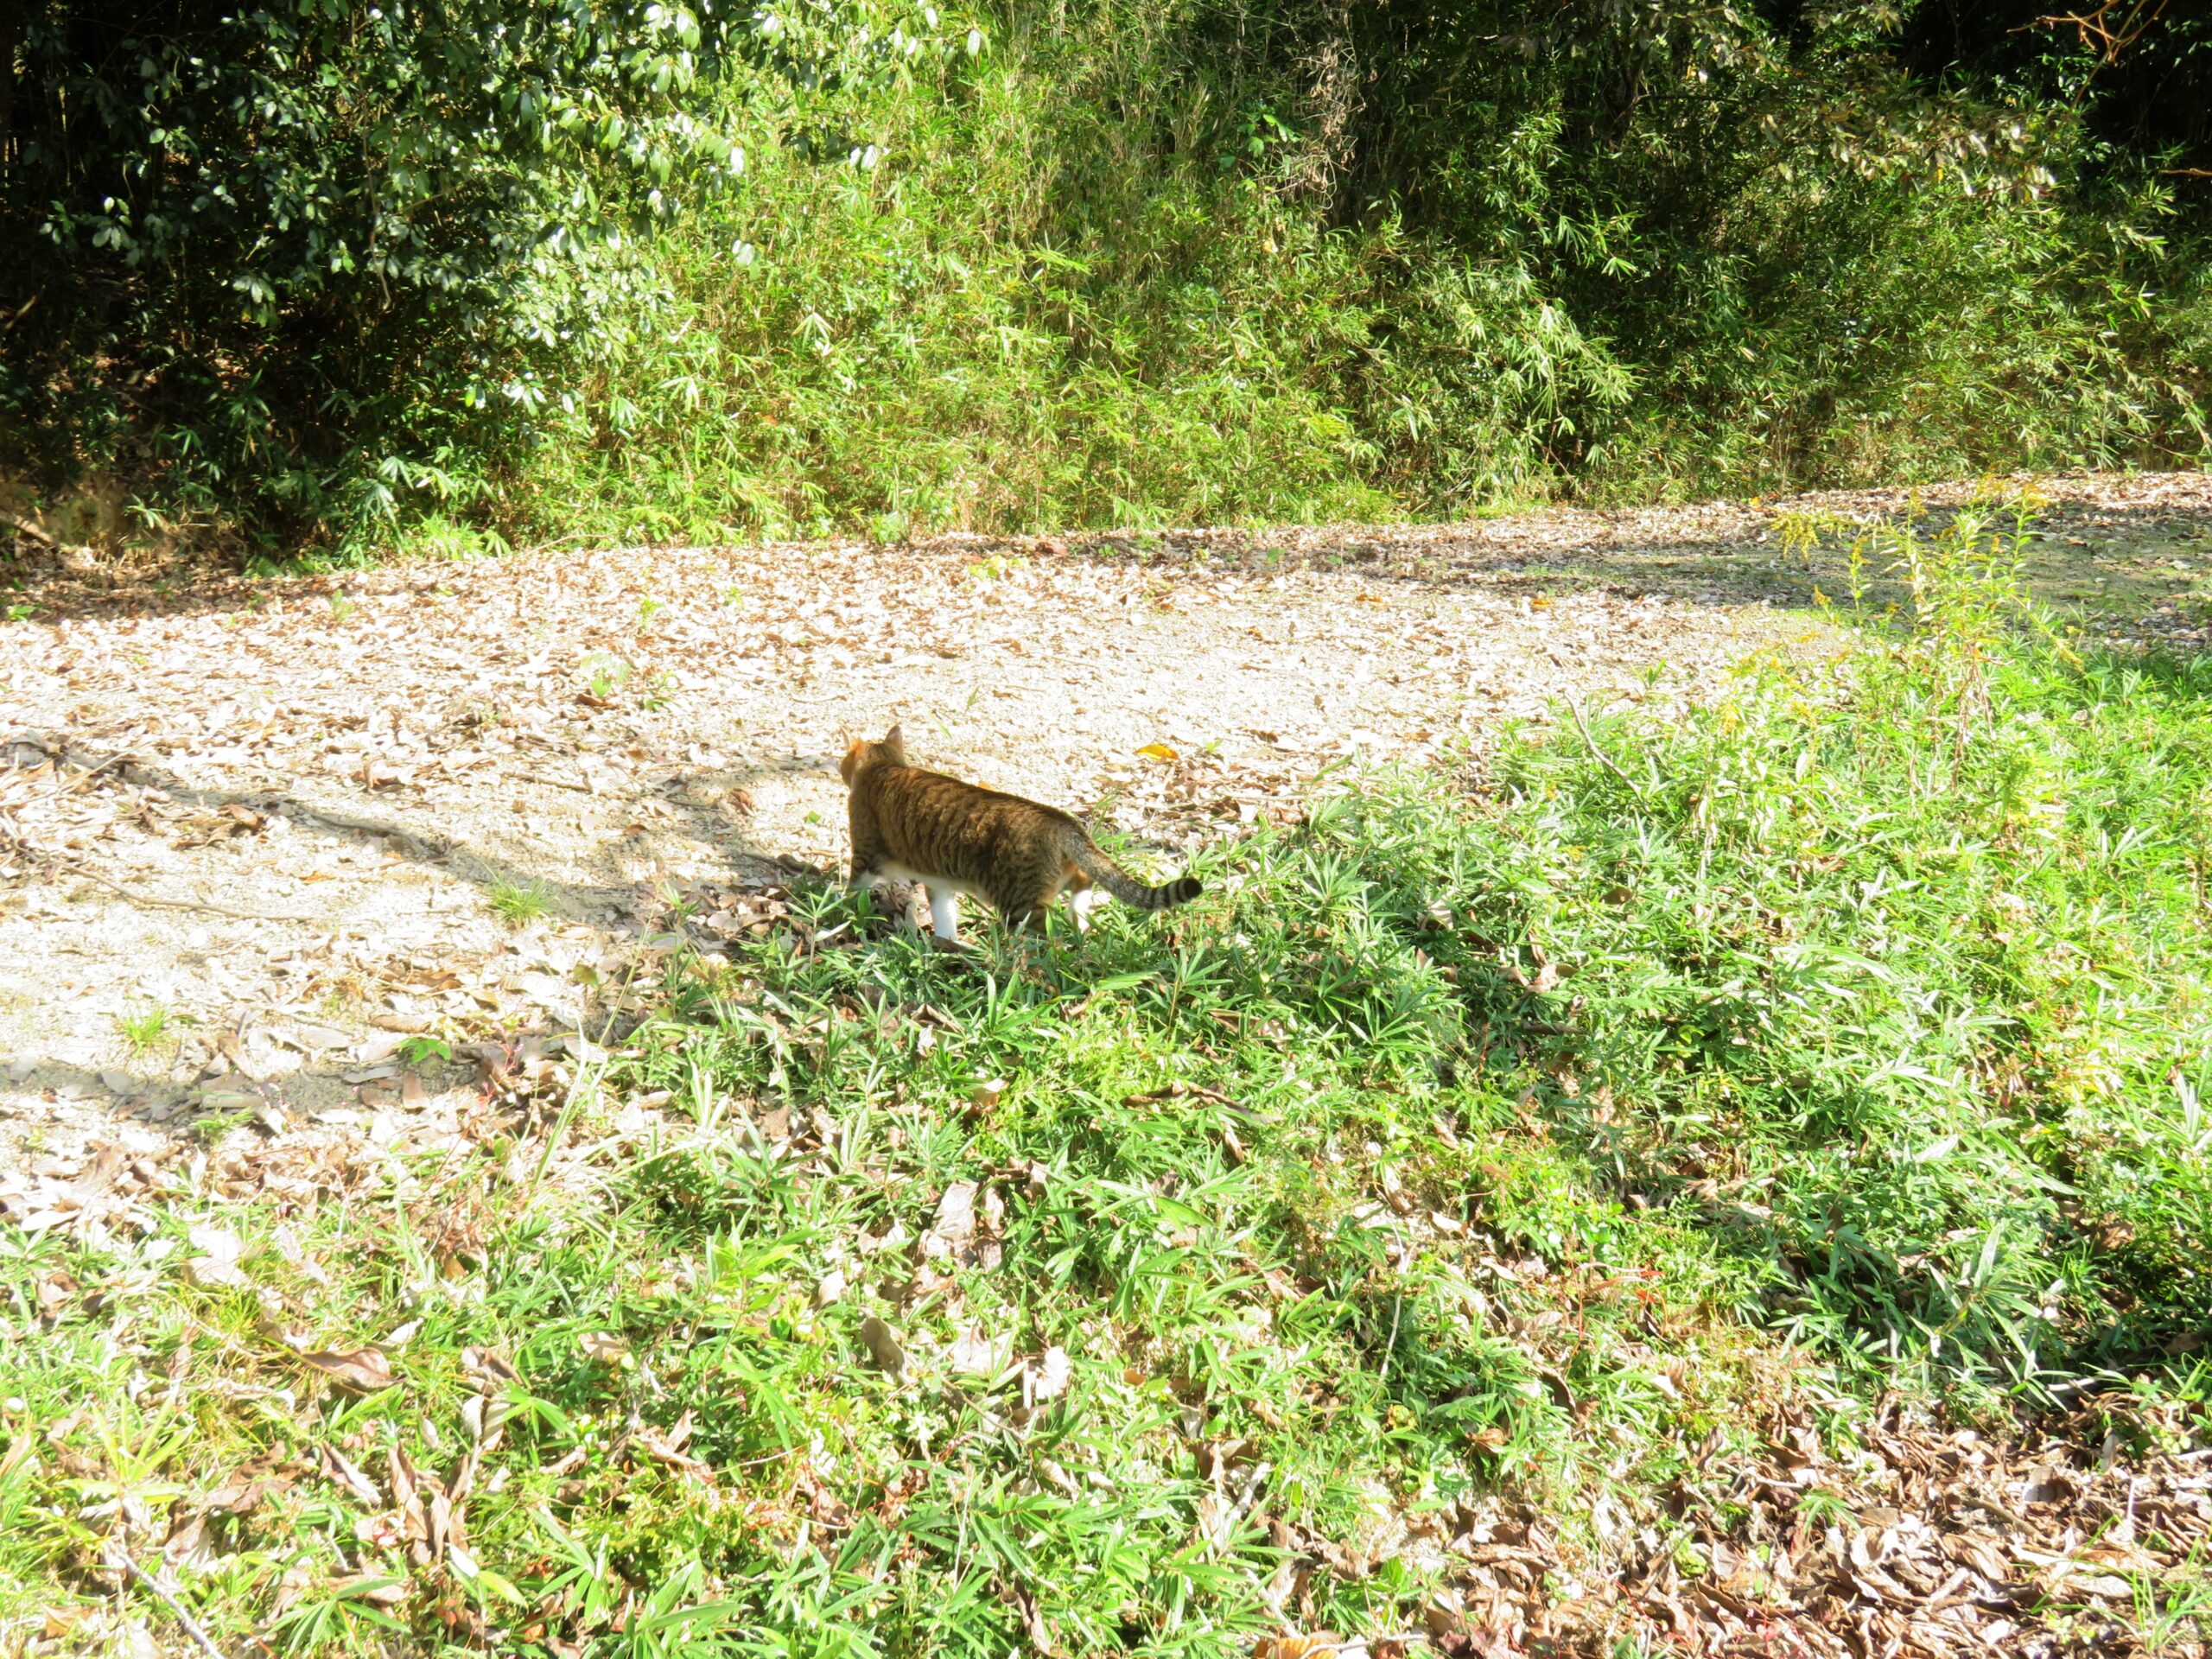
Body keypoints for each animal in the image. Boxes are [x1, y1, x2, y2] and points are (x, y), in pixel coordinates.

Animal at [836, 725, 1203, 946]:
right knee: (1085, 882)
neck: (885, 767)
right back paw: (1079, 920)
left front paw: (838, 911)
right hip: (1058, 879)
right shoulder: (939, 885)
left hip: (1020, 905)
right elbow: (945, 917)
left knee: (1044, 940)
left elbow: (852, 888)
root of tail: (1060, 821)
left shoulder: (865, 853)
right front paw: (947, 946)